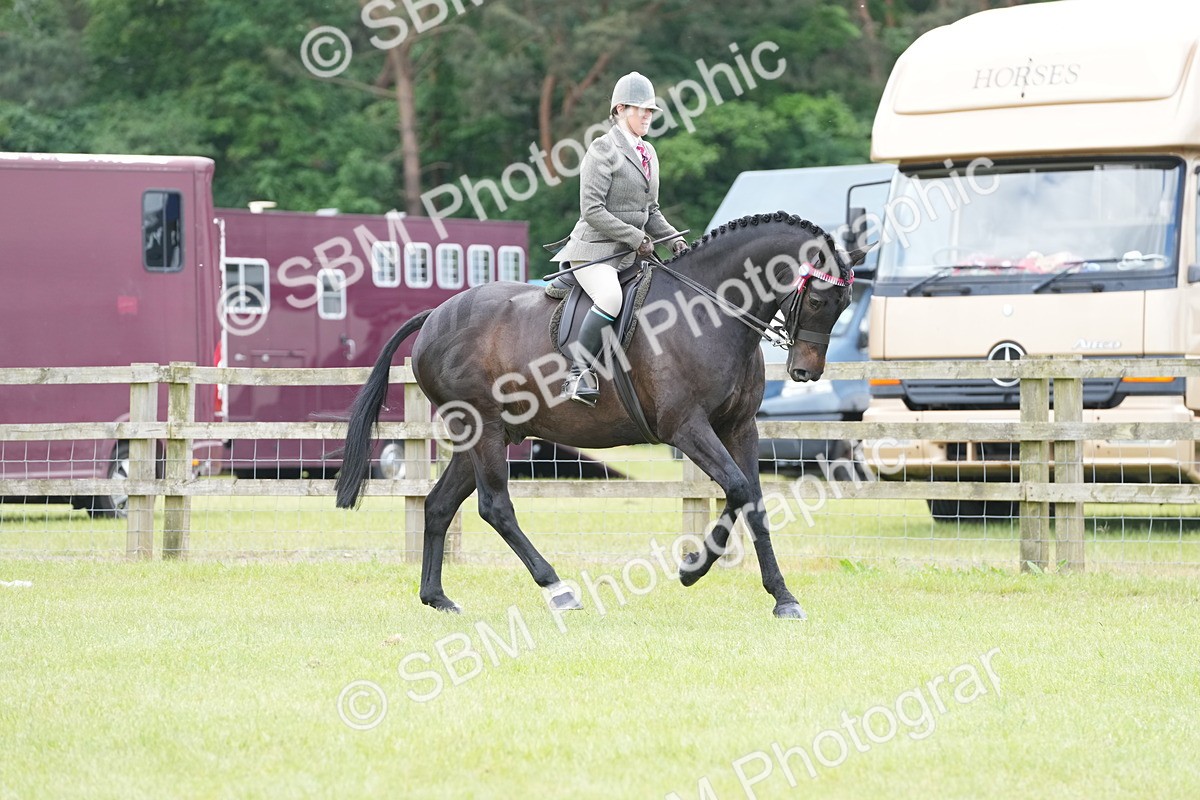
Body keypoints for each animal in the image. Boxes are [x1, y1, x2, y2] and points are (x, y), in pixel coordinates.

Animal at [335, 212, 870, 619]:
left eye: (845, 303)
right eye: (818, 298)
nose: (805, 371)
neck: (709, 310)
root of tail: (436, 315)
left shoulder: (739, 427)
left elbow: (754, 501)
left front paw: (783, 598)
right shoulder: (686, 428)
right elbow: (737, 489)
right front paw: (690, 569)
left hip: (489, 434)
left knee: (439, 505)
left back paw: (437, 598)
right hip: (482, 429)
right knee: (495, 506)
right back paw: (558, 589)